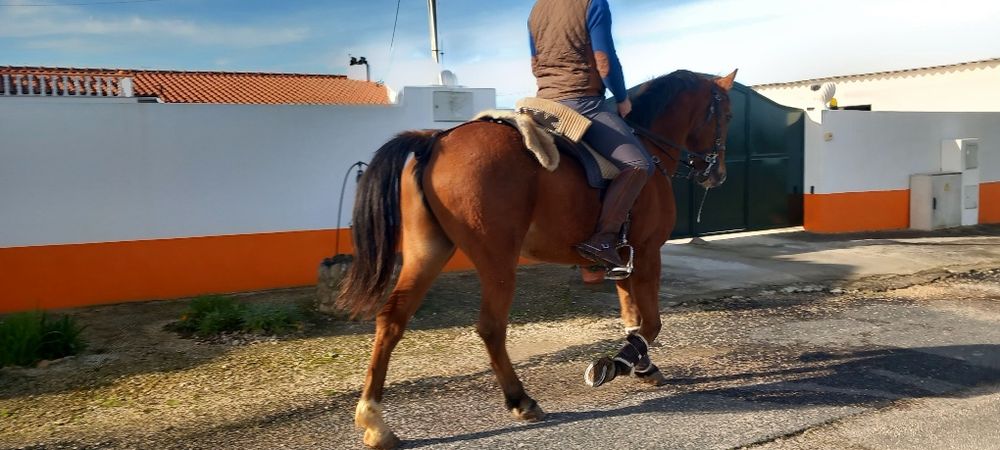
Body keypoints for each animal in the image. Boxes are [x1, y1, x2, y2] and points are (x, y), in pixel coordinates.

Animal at [337, 69, 737, 449]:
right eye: (728, 115)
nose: (718, 174)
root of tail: (435, 140)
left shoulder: (623, 258)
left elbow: (632, 318)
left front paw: (641, 366)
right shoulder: (649, 252)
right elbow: (650, 323)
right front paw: (617, 364)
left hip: (428, 252)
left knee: (392, 319)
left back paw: (374, 421)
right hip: (497, 260)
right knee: (491, 327)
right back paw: (520, 400)